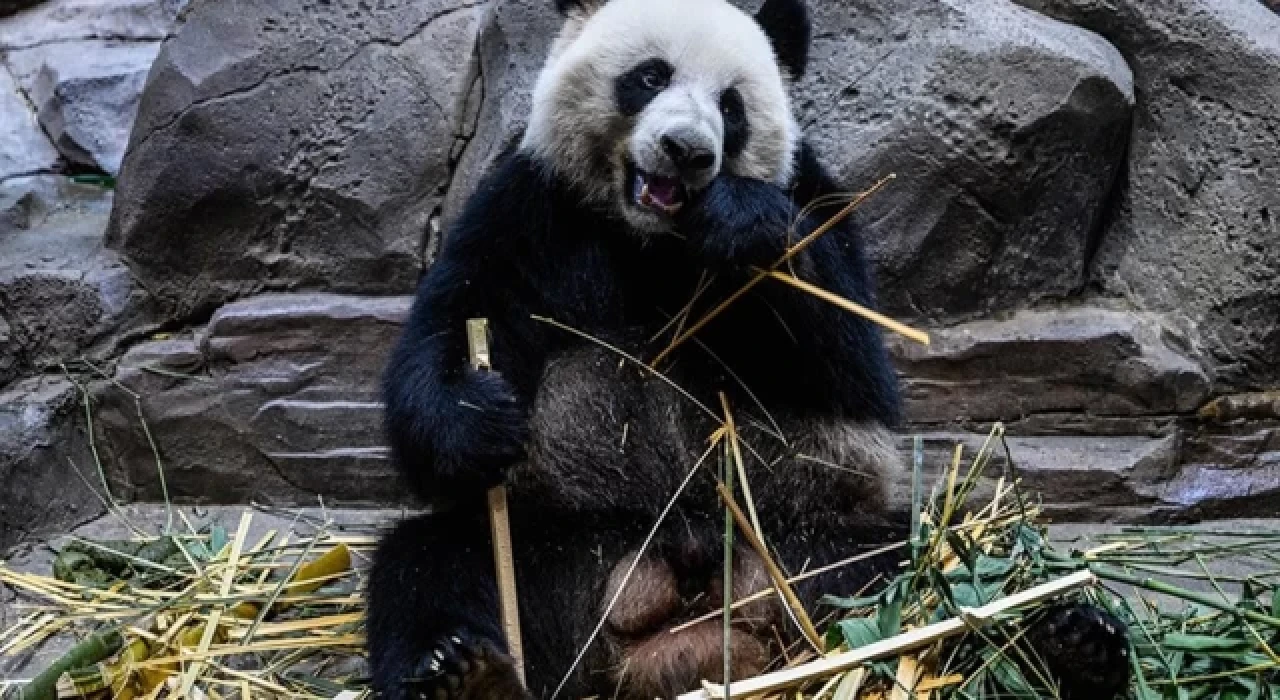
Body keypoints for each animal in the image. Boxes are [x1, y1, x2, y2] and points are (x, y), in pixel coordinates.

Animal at [367, 1, 1132, 699]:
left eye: (730, 106)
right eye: (650, 75)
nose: (687, 150)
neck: (652, 241)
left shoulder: (814, 195)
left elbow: (855, 367)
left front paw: (740, 224)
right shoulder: (533, 205)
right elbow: (454, 323)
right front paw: (476, 416)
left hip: (816, 544)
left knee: (941, 562)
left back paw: (1073, 646)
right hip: (561, 548)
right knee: (430, 567)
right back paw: (465, 674)